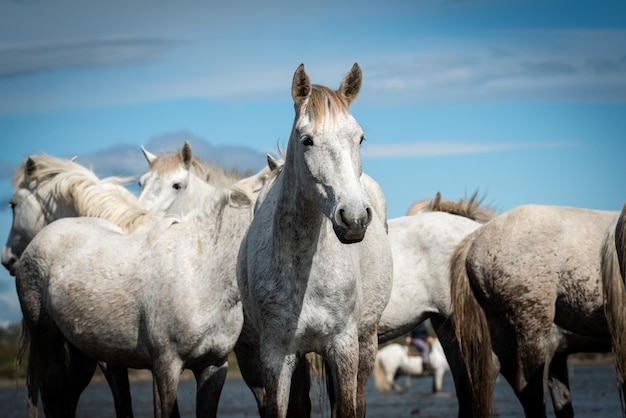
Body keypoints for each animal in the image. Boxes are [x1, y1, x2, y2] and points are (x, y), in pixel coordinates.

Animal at [236, 62, 392, 418]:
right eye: (307, 140)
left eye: (360, 137)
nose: (354, 218)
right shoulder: (275, 355)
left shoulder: (344, 347)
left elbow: (347, 407)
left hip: (366, 340)